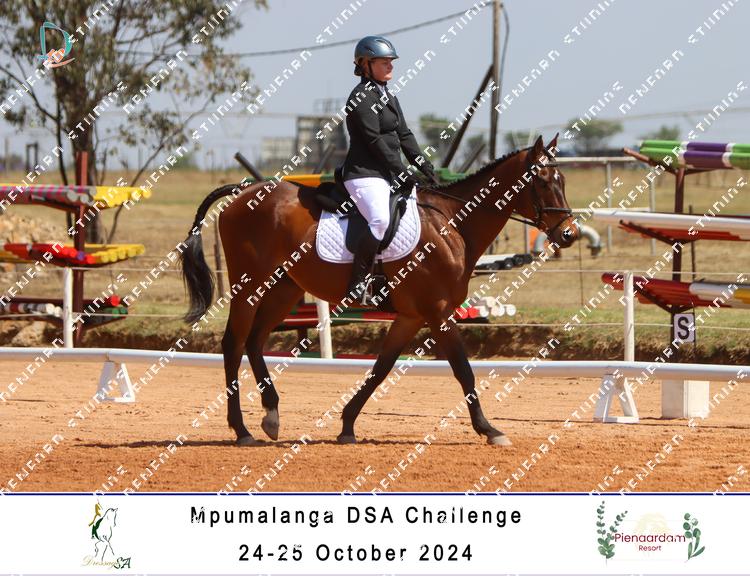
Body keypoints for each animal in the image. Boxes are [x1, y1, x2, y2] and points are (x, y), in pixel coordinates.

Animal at [181, 135, 578, 446]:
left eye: (562, 179)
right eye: (543, 181)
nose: (569, 234)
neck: (451, 224)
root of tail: (243, 192)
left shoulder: (411, 316)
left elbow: (381, 368)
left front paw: (347, 425)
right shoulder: (438, 312)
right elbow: (463, 369)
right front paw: (489, 429)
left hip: (284, 289)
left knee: (254, 341)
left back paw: (271, 415)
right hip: (250, 285)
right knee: (233, 345)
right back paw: (242, 430)